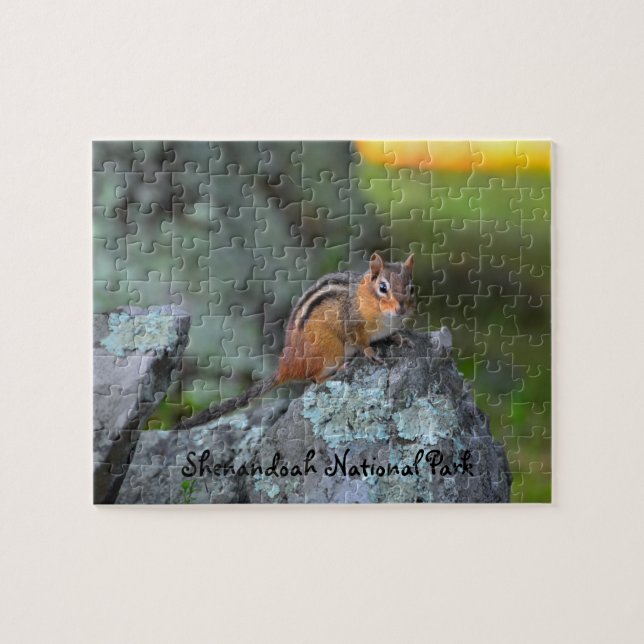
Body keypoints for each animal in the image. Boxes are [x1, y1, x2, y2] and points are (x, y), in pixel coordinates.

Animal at [181, 252, 416, 429]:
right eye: (383, 288)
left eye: (411, 288)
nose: (402, 309)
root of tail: (287, 363)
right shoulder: (351, 322)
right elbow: (358, 340)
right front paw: (370, 352)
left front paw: (399, 337)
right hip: (331, 351)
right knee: (315, 378)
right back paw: (335, 372)